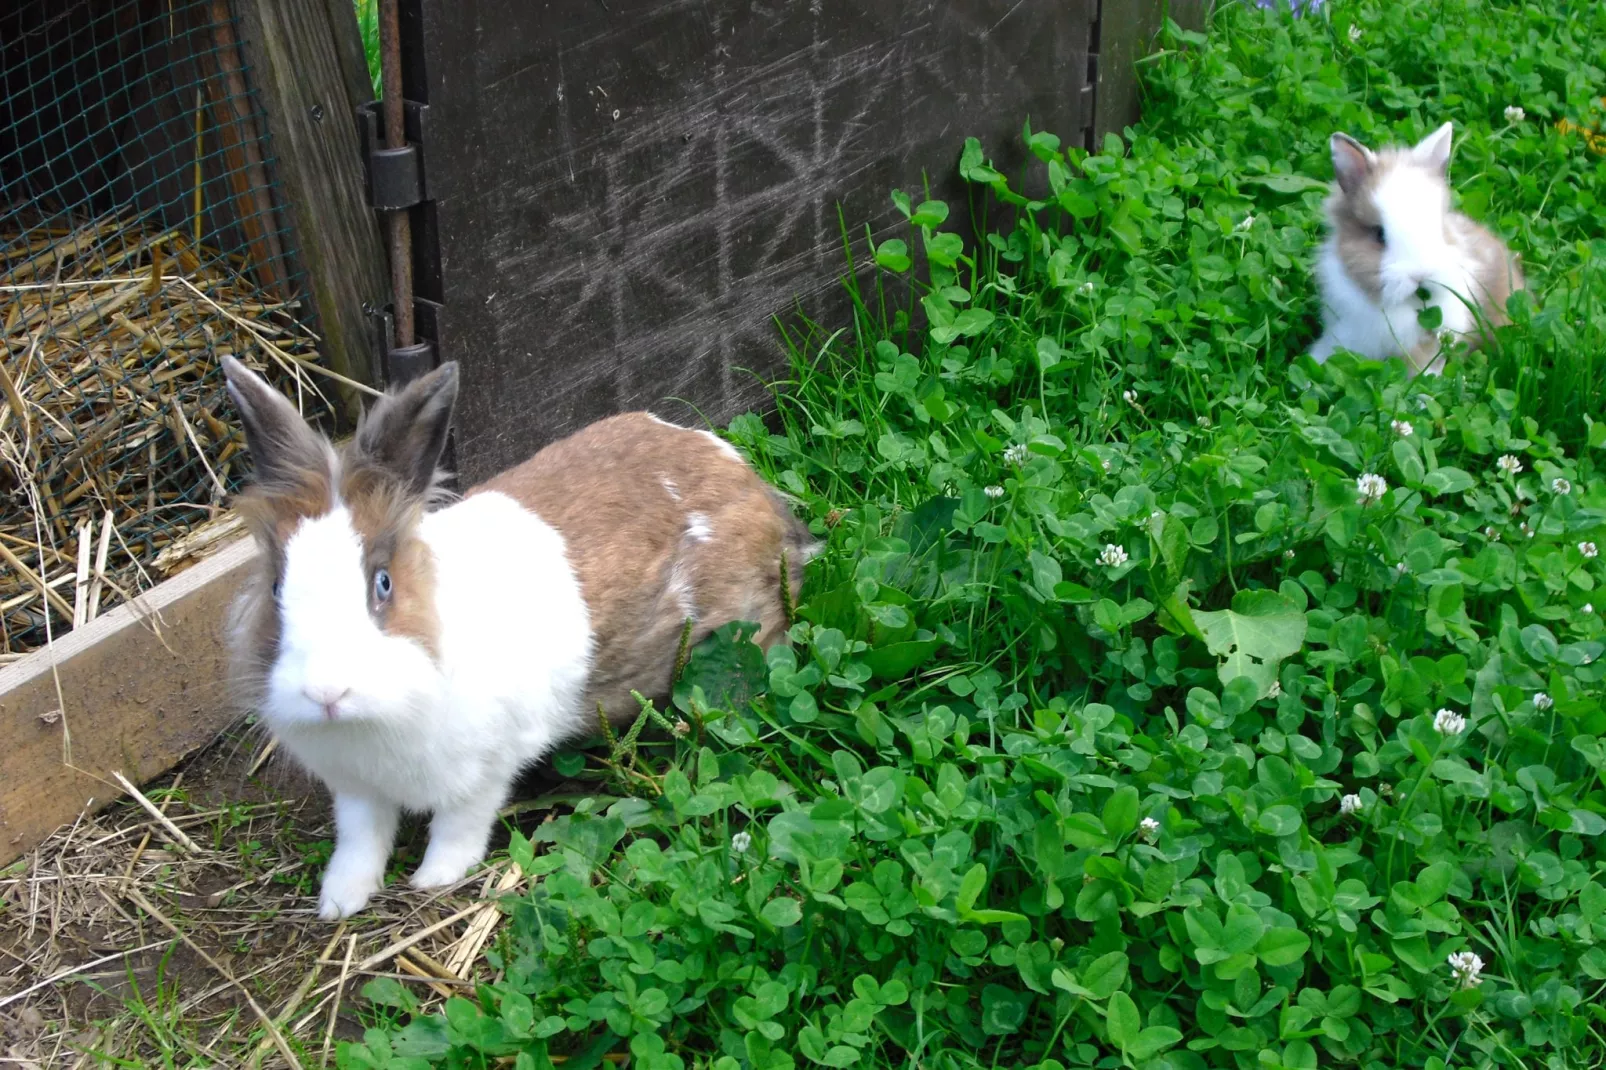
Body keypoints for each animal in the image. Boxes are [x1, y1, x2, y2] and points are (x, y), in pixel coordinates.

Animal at [223, 356, 815, 918]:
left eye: (383, 584)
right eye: (275, 587)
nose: (326, 694)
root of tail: (741, 473)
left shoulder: (483, 770)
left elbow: (458, 826)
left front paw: (434, 879)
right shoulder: (356, 792)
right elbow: (360, 841)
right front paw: (339, 901)